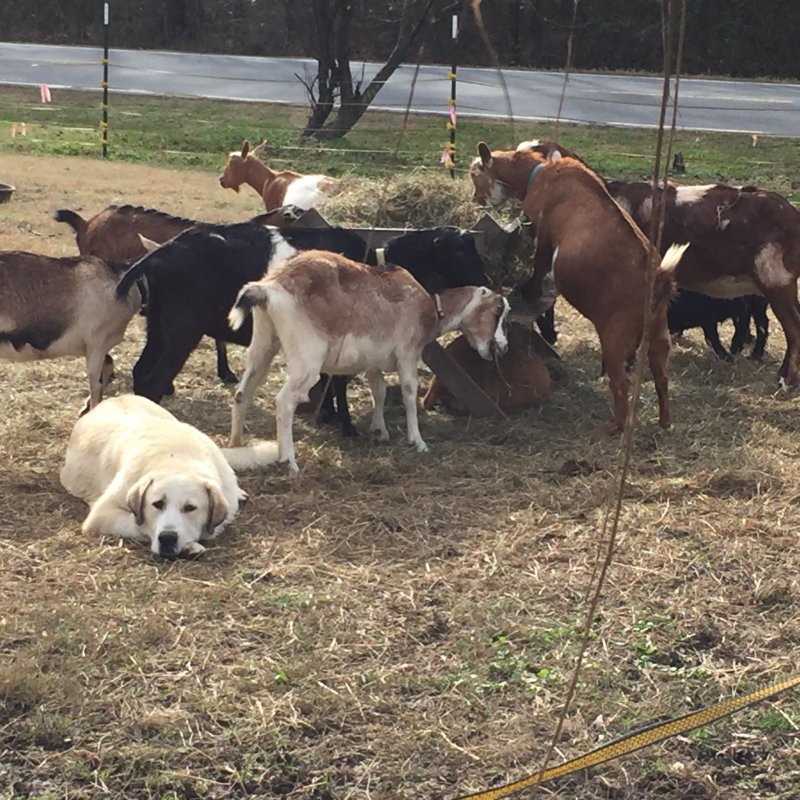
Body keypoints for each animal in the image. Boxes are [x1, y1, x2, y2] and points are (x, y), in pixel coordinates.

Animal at [60, 394, 278, 556]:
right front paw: (189, 545)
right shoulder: (101, 514)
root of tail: (117, 397)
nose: (167, 538)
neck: (178, 459)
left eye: (190, 508)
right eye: (157, 504)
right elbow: (139, 524)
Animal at [228, 250, 510, 472]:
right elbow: (409, 393)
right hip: (307, 357)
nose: (504, 347)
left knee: (243, 392)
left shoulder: (374, 362)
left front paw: (380, 431)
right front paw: (417, 441)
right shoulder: (408, 353)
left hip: (264, 343)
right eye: (498, 311)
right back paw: (289, 462)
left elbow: (380, 391)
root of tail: (269, 287)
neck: (430, 309)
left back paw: (236, 446)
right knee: (284, 401)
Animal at [468, 141, 688, 434]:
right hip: (659, 333)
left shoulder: (543, 231)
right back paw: (665, 422)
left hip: (615, 336)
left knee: (621, 381)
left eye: (476, 174)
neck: (539, 172)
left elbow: (539, 266)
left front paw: (527, 291)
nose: (475, 199)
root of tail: (660, 280)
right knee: (661, 376)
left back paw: (615, 426)